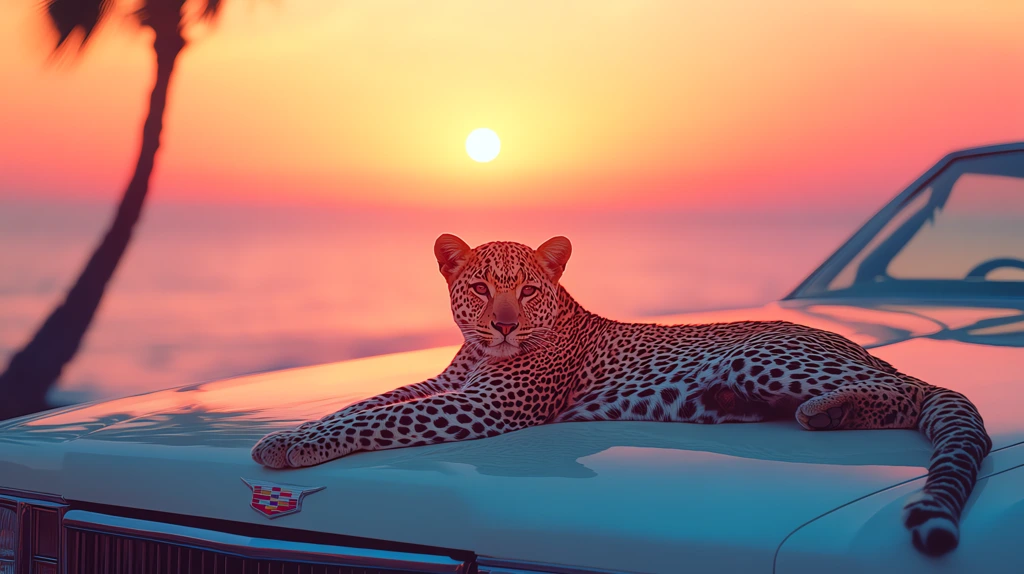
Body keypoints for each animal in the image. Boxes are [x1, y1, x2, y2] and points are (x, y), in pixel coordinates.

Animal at [253, 231, 991, 556]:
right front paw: (290, 428)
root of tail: (858, 346)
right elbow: (369, 403)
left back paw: (822, 410)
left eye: (528, 290)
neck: (480, 354)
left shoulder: (487, 406)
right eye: (480, 287)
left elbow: (386, 421)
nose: (504, 324)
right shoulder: (447, 383)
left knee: (910, 395)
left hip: (764, 358)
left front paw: (290, 445)